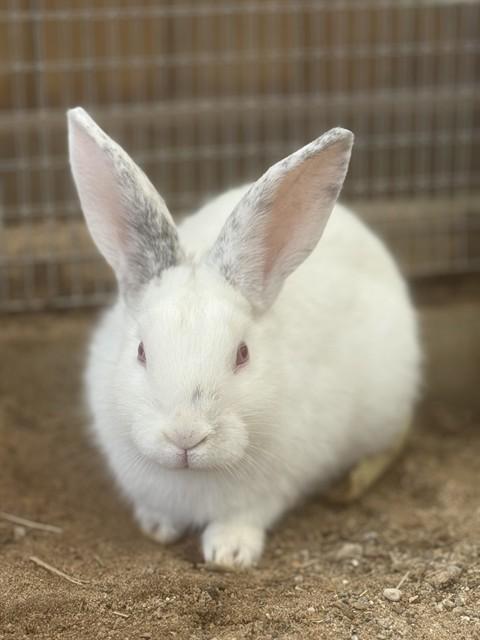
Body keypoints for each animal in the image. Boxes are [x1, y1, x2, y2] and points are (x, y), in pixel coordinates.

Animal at [68, 107, 421, 568]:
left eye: (242, 354)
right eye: (142, 352)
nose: (186, 436)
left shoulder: (272, 488)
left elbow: (245, 518)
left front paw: (229, 554)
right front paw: (157, 527)